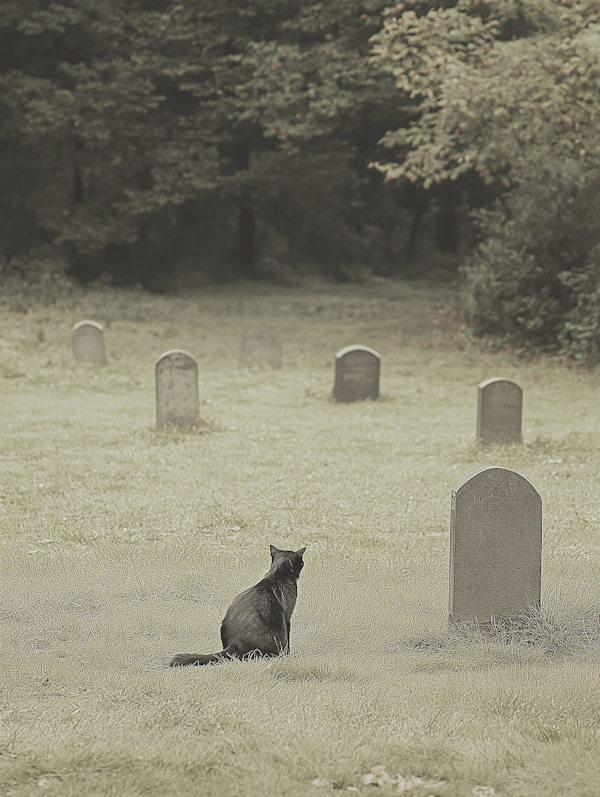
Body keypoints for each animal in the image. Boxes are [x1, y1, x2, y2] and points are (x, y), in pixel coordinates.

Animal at [171, 544, 308, 664]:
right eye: (301, 562)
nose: (303, 564)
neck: (277, 573)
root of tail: (235, 644)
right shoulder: (287, 617)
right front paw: (289, 654)